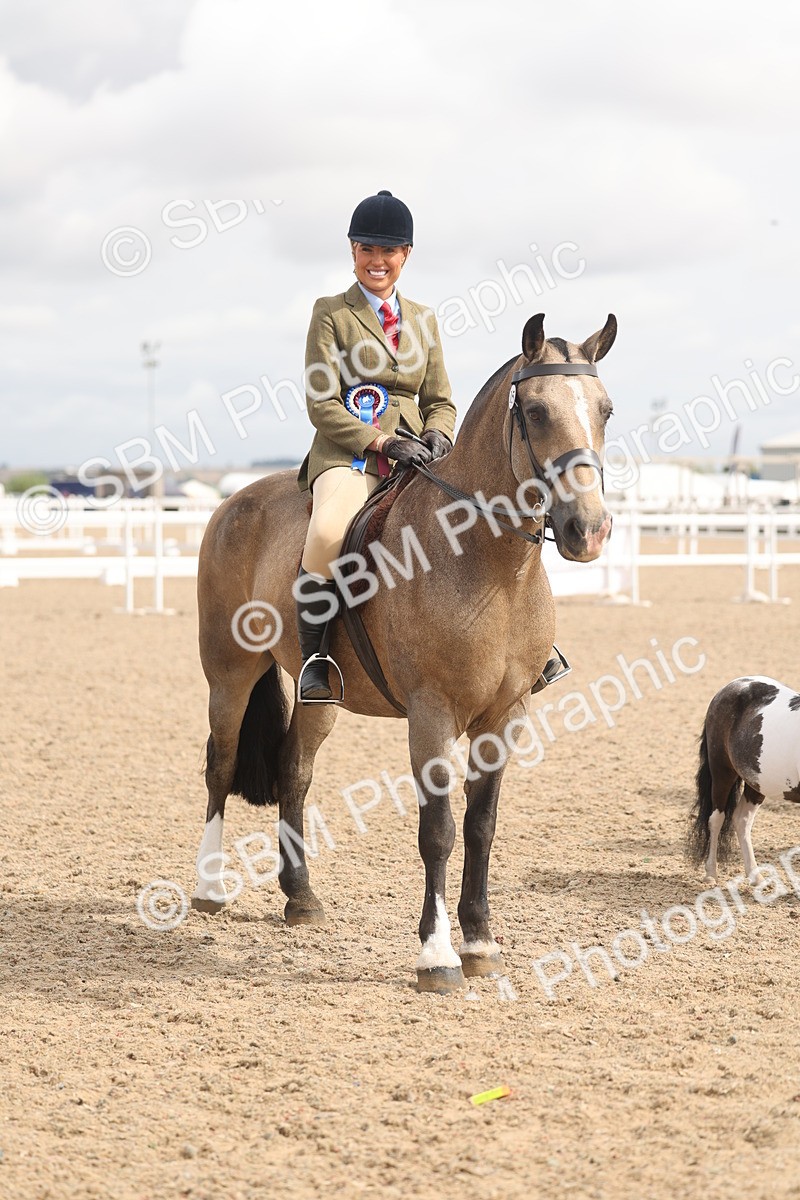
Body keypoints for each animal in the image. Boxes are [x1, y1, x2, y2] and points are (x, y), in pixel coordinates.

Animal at [191, 311, 617, 993]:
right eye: (537, 411)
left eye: (605, 409)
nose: (589, 530)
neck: (490, 565)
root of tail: (234, 502)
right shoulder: (432, 712)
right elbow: (437, 831)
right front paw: (437, 956)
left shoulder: (505, 715)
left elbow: (480, 826)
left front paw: (481, 942)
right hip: (230, 673)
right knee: (221, 765)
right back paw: (209, 889)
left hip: (321, 696)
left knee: (293, 770)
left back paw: (300, 897)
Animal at [688, 676, 800, 886]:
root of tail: (733, 685)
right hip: (722, 772)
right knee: (716, 819)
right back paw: (711, 874)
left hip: (755, 783)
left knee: (741, 819)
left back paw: (756, 877)